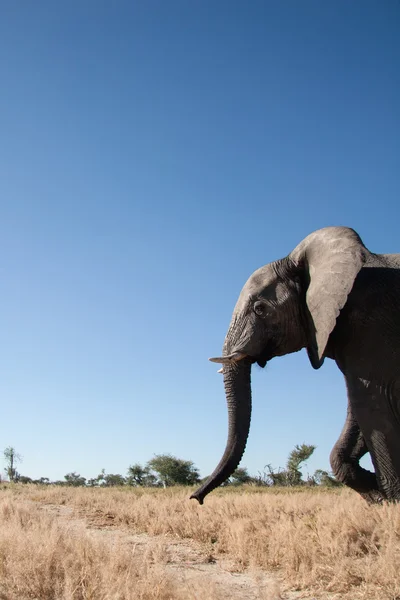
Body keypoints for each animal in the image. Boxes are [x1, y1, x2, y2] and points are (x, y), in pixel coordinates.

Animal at [191, 227, 400, 504]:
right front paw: (378, 499)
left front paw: (390, 502)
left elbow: (374, 404)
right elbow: (359, 411)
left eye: (260, 309)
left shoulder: (370, 323)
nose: (196, 499)